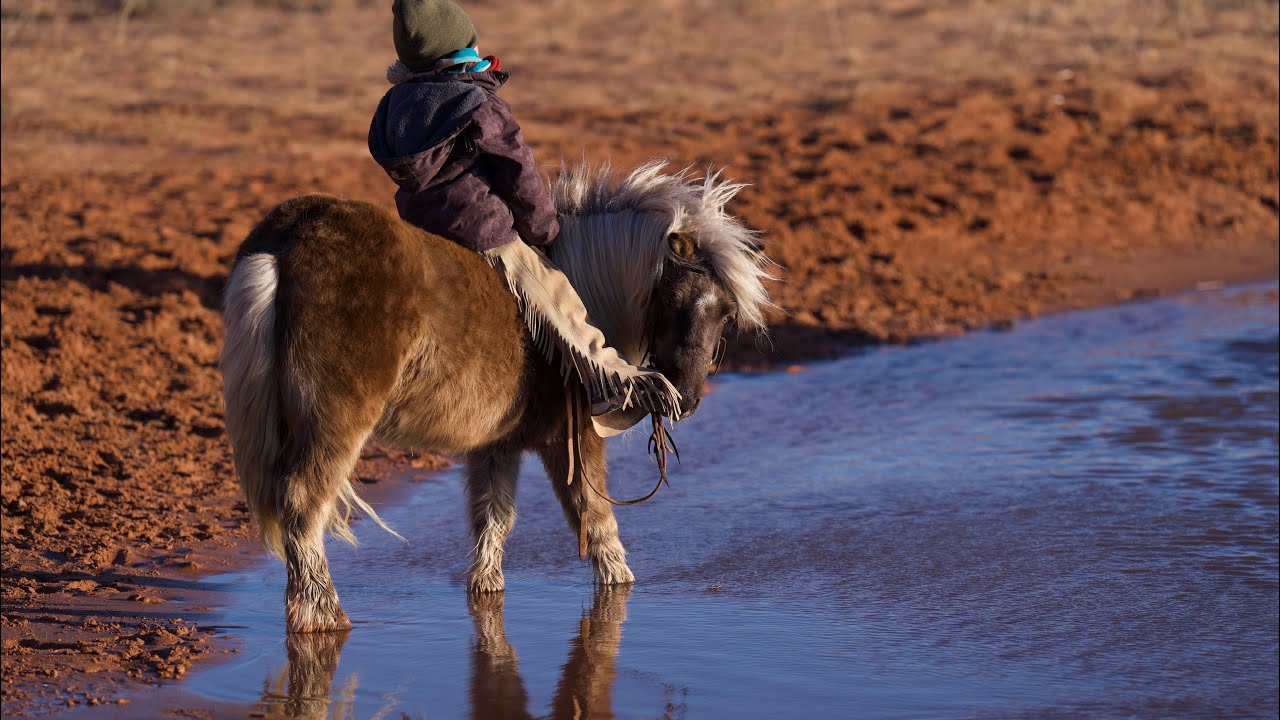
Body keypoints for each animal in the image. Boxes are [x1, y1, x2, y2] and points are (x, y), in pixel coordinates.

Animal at [220, 161, 773, 633]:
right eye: (677, 299)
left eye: (726, 313)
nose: (686, 398)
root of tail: (287, 240)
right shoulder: (569, 439)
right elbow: (594, 517)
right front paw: (621, 588)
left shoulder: (497, 444)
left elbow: (494, 516)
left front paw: (486, 590)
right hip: (336, 420)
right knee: (304, 501)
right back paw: (323, 616)